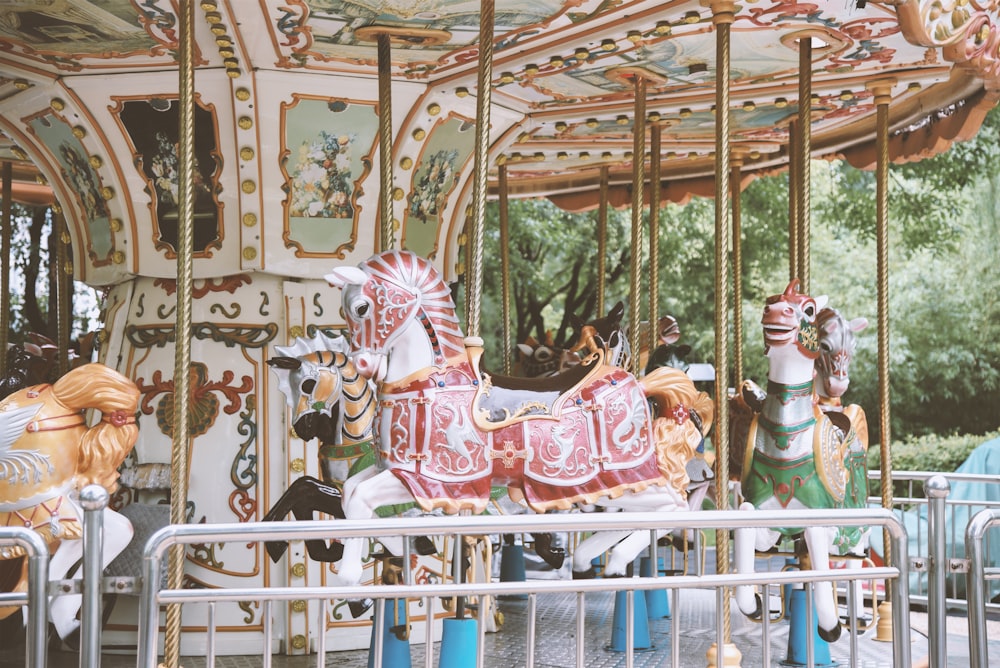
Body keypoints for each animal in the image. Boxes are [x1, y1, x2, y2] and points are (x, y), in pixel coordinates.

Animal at [324, 250, 700, 584]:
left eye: (361, 307)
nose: (364, 364)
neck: (430, 378)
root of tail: (635, 380)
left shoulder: (434, 478)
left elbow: (359, 499)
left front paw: (349, 574)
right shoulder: (395, 467)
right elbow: (350, 495)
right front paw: (398, 550)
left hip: (620, 473)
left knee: (674, 507)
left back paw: (616, 560)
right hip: (614, 484)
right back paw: (587, 560)